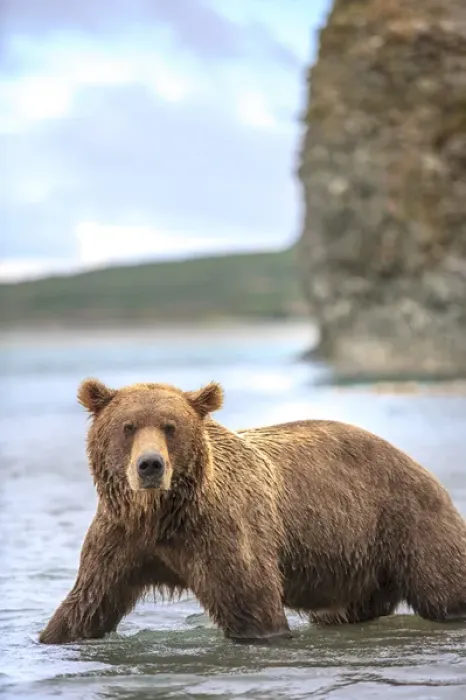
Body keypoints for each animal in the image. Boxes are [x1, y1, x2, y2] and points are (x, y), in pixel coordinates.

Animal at [39, 378, 466, 645]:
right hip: (358, 563)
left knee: (445, 589)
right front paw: (52, 636)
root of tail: (415, 464)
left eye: (170, 426)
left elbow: (252, 605)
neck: (161, 516)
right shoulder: (120, 539)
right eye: (127, 426)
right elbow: (87, 603)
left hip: (406, 521)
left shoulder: (223, 531)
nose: (150, 465)